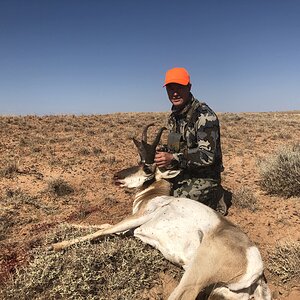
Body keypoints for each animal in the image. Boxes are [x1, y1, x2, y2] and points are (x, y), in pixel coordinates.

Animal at [51, 124, 272, 300]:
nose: (116, 176)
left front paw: (56, 245)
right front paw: (63, 225)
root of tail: (256, 263)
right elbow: (104, 224)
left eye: (147, 168)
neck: (155, 195)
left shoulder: (138, 217)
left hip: (195, 275)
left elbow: (103, 230)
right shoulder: (130, 228)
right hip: (223, 290)